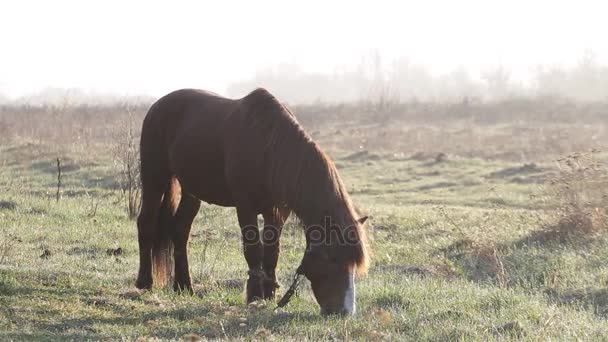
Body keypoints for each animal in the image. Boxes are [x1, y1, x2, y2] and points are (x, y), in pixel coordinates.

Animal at [135, 87, 368, 316]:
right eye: (333, 259)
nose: (345, 312)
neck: (269, 148)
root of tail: (158, 105)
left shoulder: (277, 211)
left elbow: (272, 251)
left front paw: (270, 293)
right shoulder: (245, 207)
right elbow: (253, 249)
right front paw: (255, 296)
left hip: (191, 190)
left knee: (180, 229)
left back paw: (184, 286)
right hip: (155, 176)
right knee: (146, 222)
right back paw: (144, 283)